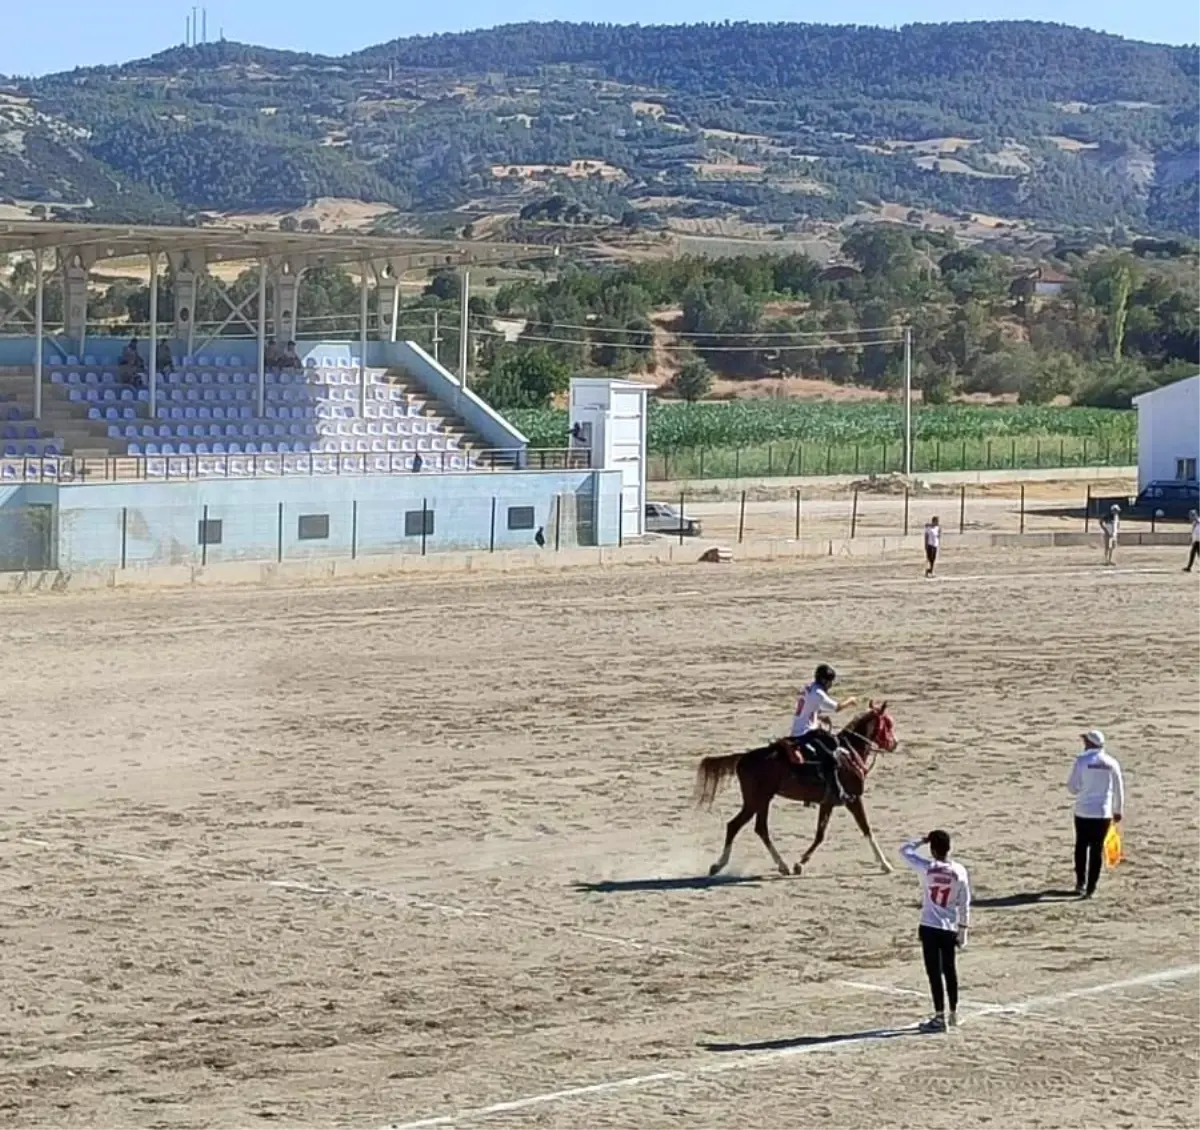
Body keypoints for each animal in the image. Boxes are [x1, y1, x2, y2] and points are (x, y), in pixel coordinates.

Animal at [696, 705, 902, 878]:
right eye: (888, 724)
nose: (894, 744)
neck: (849, 754)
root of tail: (743, 758)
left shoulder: (828, 803)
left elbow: (820, 835)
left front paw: (799, 864)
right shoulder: (853, 799)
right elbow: (866, 829)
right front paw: (885, 864)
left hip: (762, 800)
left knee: (759, 828)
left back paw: (782, 866)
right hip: (756, 800)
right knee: (735, 825)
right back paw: (719, 865)